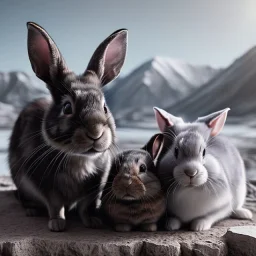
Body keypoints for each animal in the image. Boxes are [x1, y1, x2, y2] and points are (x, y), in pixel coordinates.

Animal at [8, 21, 128, 231]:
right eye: (67, 107)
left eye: (105, 107)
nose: (95, 132)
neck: (80, 159)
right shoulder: (47, 187)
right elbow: (55, 205)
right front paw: (57, 224)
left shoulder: (94, 189)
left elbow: (86, 206)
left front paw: (92, 221)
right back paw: (31, 210)